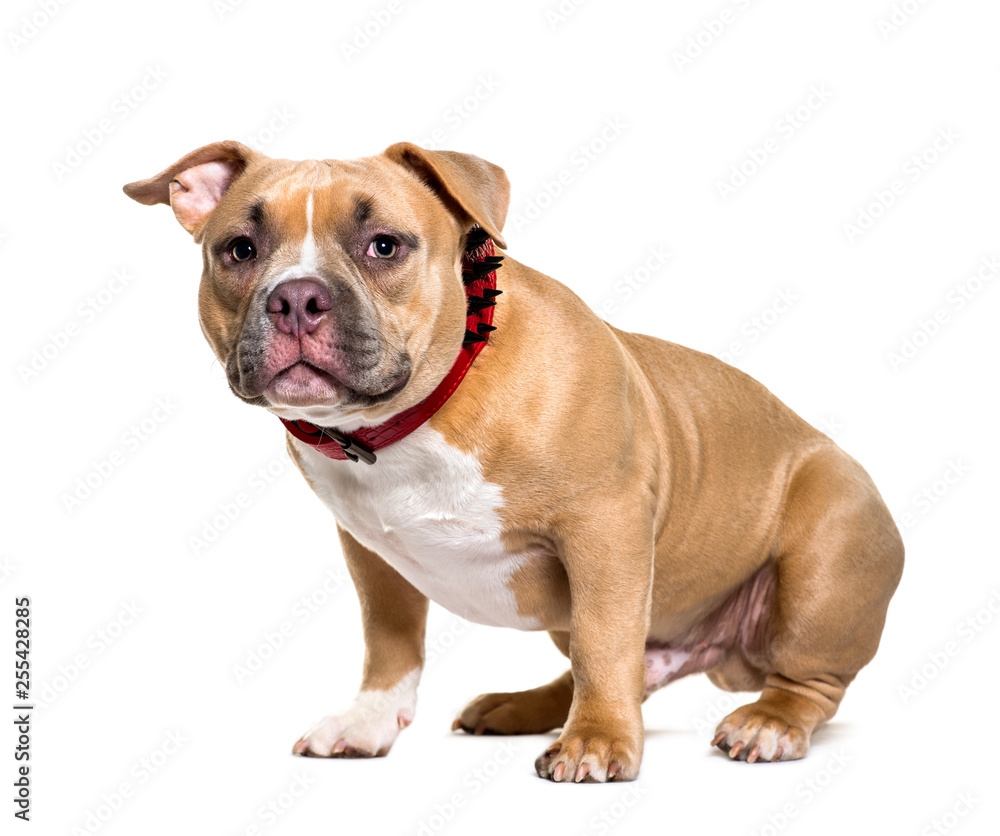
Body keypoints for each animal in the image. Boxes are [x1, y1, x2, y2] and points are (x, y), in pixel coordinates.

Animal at [125, 142, 908, 784]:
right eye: (239, 249)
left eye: (384, 246)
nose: (296, 296)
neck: (411, 417)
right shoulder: (372, 554)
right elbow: (391, 640)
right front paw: (369, 721)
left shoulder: (605, 530)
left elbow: (604, 642)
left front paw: (598, 743)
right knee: (626, 664)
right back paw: (523, 707)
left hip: (825, 557)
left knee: (800, 681)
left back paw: (765, 724)